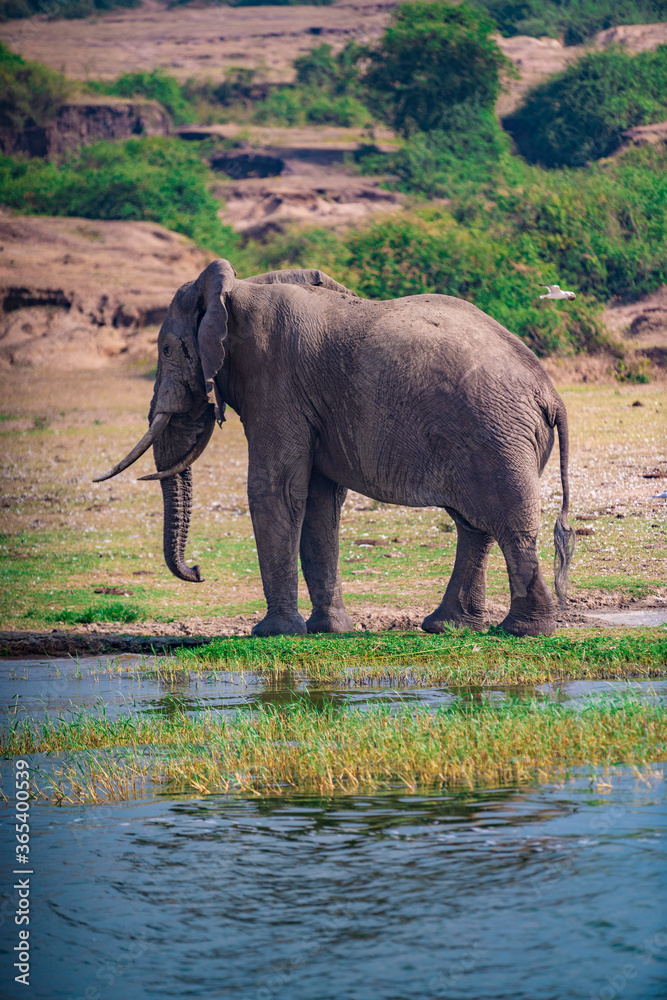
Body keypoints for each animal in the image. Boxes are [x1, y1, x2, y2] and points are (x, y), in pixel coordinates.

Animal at [94, 259, 576, 638]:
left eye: (167, 349)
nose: (197, 571)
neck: (238, 288)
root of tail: (551, 393)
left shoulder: (277, 380)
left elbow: (276, 490)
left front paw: (273, 633)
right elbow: (319, 501)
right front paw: (329, 630)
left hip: (496, 435)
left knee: (507, 523)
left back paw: (521, 631)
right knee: (474, 525)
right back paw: (449, 626)